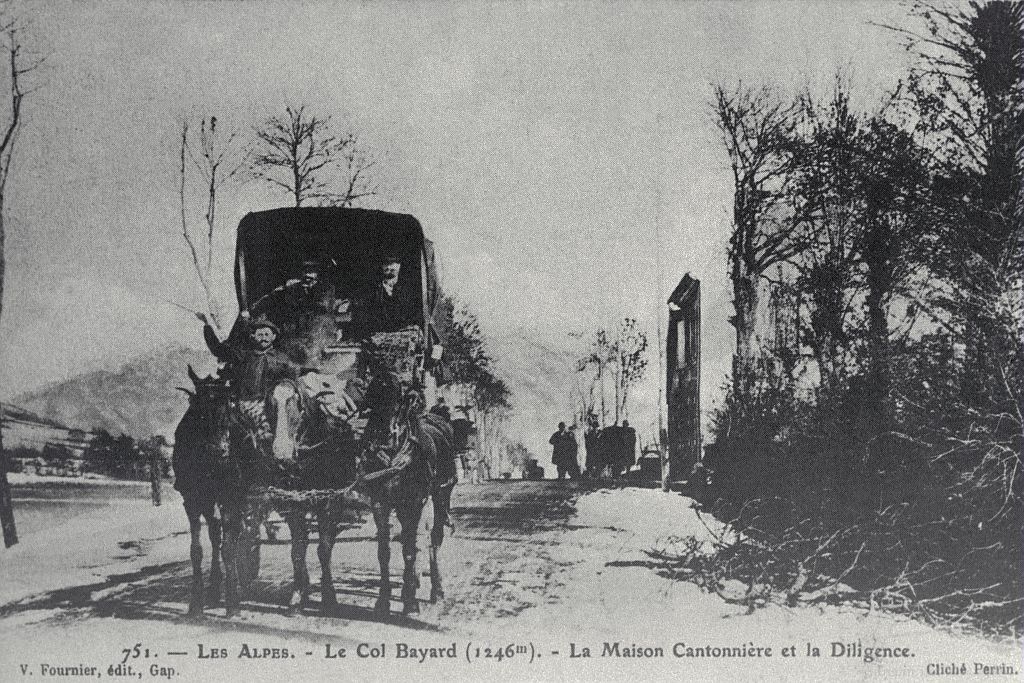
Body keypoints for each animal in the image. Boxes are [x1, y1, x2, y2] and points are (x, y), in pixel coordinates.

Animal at [360, 370, 456, 618]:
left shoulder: (413, 503)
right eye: (373, 390)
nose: (385, 382)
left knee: (434, 539)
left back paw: (436, 590)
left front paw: (411, 603)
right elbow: (384, 551)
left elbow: (411, 550)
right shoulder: (380, 504)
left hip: (440, 496)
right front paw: (383, 600)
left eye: (399, 391)